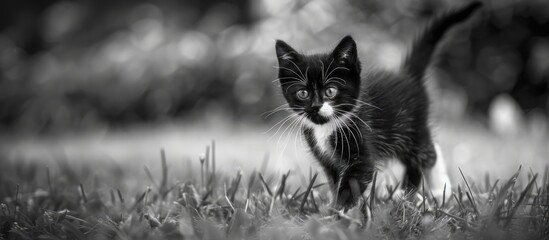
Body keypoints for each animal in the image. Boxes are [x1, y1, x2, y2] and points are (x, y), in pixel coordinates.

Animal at [272, 1, 480, 208]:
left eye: (330, 91)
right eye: (303, 93)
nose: (315, 106)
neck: (327, 126)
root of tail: (408, 76)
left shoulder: (362, 144)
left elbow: (354, 180)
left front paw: (337, 212)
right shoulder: (327, 159)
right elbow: (335, 181)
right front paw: (335, 206)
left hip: (412, 125)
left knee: (428, 152)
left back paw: (438, 190)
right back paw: (407, 195)